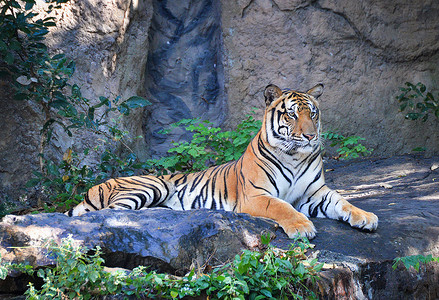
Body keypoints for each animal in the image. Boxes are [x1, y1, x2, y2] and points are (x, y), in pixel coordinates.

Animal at [67, 83, 380, 238]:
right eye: (292, 114)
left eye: (313, 114)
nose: (311, 136)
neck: (294, 156)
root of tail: (95, 187)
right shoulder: (256, 196)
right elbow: (282, 207)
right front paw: (302, 227)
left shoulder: (315, 193)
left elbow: (343, 201)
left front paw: (366, 217)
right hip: (150, 186)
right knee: (107, 215)